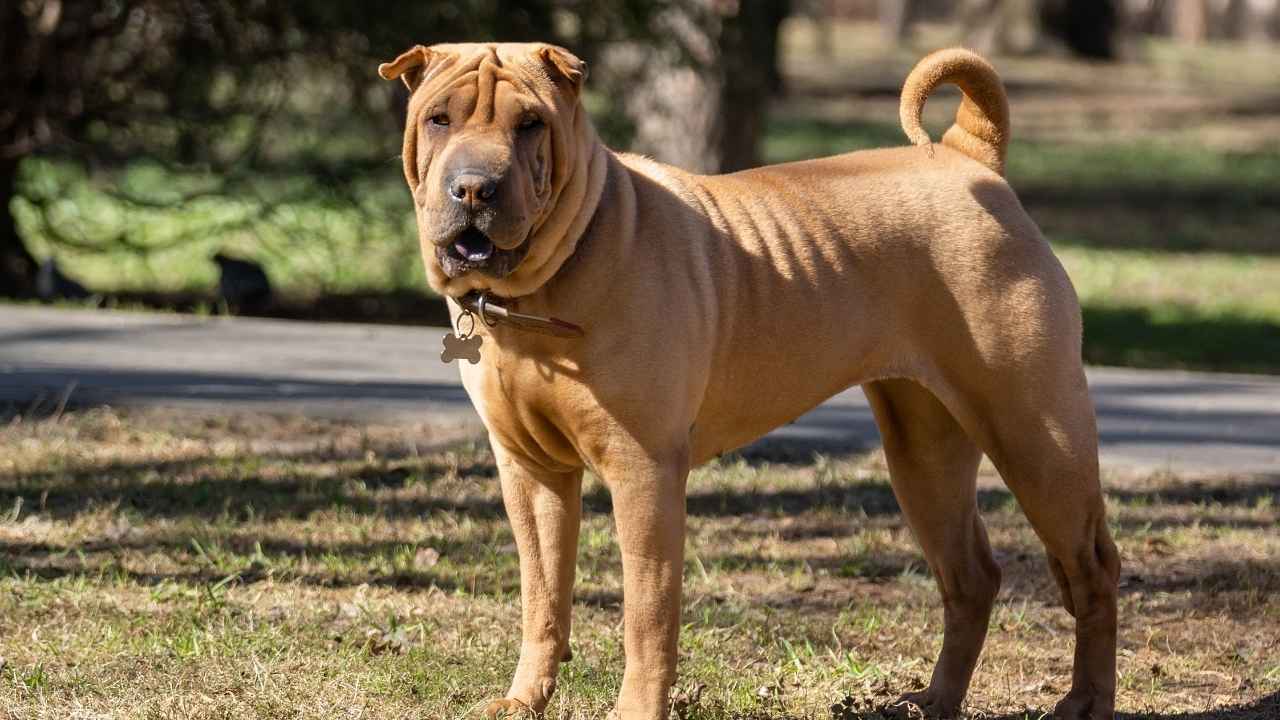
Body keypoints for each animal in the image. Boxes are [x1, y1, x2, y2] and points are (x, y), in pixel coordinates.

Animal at [378, 44, 1121, 717]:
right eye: (439, 119)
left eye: (530, 124)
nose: (474, 187)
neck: (539, 290)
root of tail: (970, 157)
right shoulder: (530, 471)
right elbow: (543, 599)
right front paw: (524, 699)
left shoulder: (643, 470)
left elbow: (646, 615)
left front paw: (636, 708)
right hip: (923, 451)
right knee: (972, 577)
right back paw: (935, 701)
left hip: (1036, 436)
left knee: (1091, 570)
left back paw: (1085, 700)